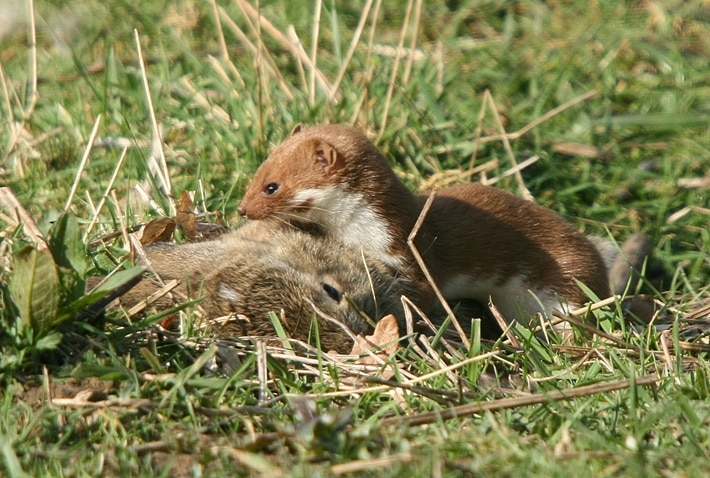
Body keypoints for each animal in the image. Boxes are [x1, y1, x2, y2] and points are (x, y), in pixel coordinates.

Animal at [238, 123, 612, 328]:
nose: (242, 209)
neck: (358, 232)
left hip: (570, 282)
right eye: (258, 171)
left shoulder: (410, 252)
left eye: (272, 186)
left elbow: (423, 294)